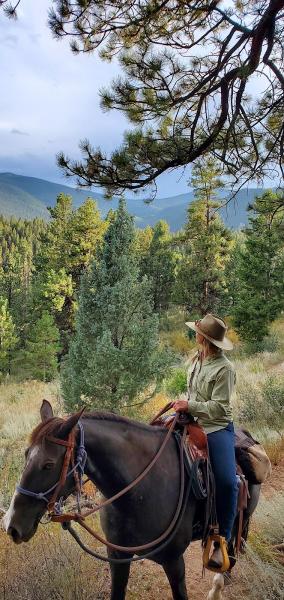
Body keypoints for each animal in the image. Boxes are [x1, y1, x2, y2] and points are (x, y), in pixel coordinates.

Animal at [2, 398, 260, 600]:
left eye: (48, 464)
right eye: (26, 455)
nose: (11, 525)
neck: (136, 494)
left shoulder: (174, 561)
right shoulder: (118, 556)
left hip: (238, 520)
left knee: (230, 551)